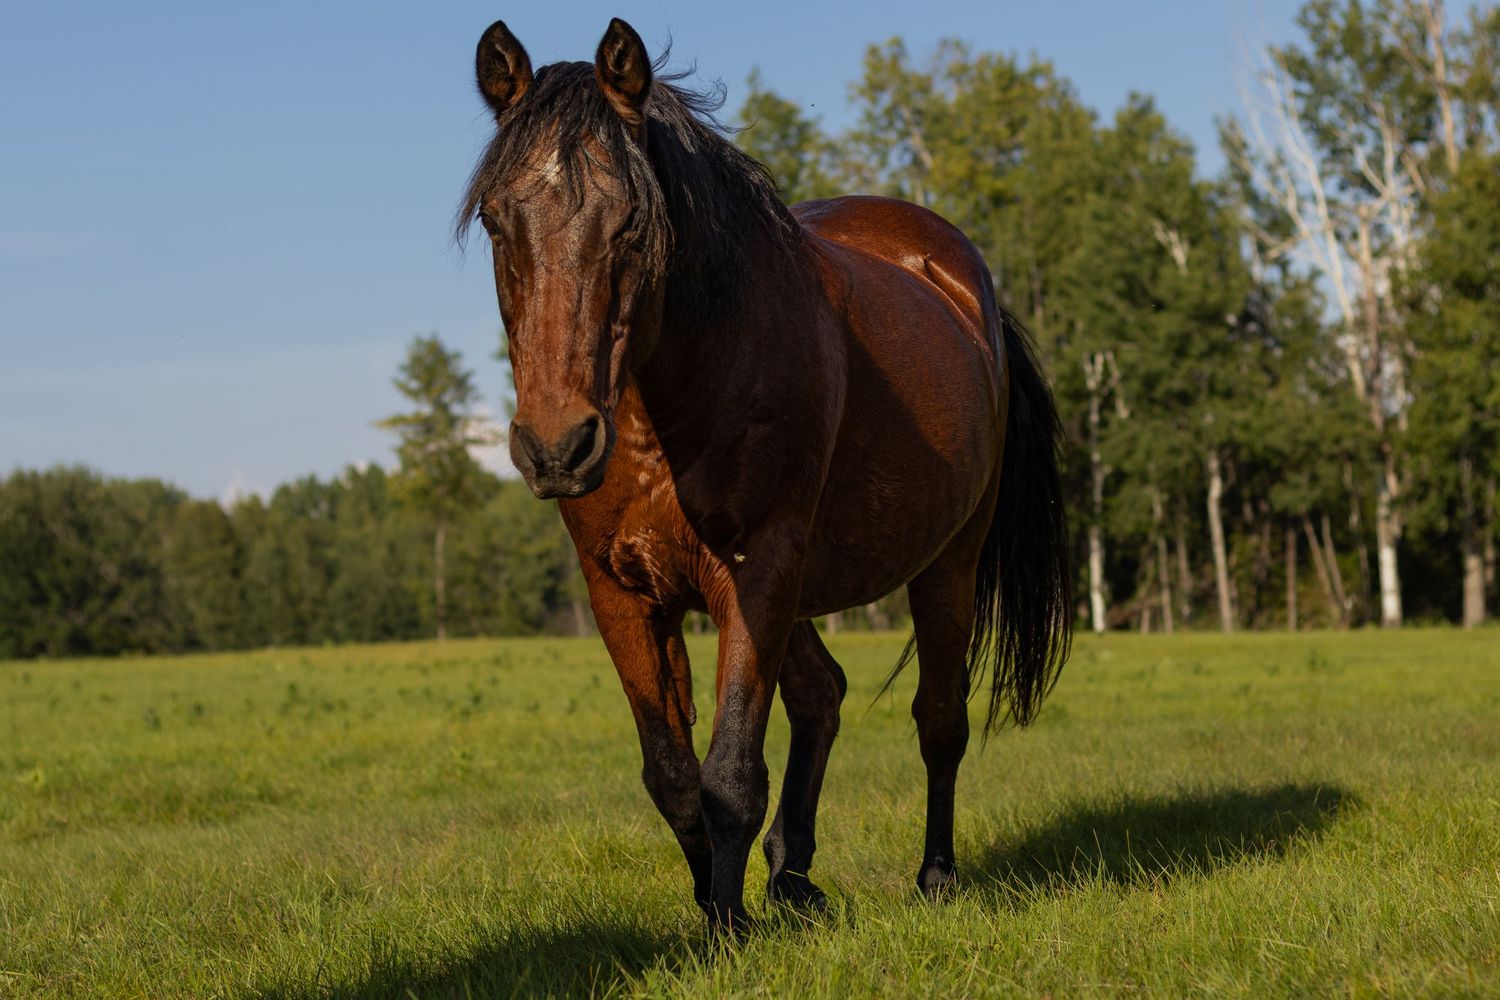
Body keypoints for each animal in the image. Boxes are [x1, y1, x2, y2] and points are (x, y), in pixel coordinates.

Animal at [458, 17, 1072, 932]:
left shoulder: (756, 570)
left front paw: (730, 928)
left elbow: (731, 776)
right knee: (823, 694)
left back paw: (933, 877)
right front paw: (715, 914)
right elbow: (674, 778)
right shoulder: (624, 594)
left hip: (946, 564)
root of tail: (966, 286)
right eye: (498, 222)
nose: (557, 448)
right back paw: (794, 877)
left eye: (631, 222)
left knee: (939, 721)